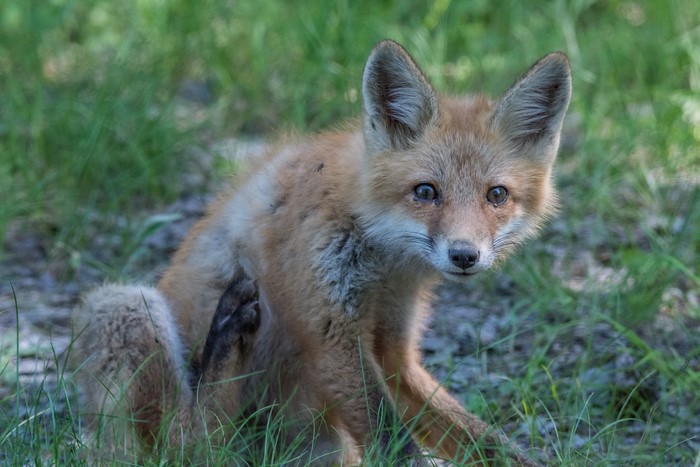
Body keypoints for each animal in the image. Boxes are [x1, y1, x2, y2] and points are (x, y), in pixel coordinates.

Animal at [71, 40, 571, 465]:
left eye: (496, 195)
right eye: (426, 191)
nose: (465, 255)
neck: (382, 260)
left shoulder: (393, 345)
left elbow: (476, 437)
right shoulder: (331, 330)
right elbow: (389, 436)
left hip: (323, 446)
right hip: (123, 306)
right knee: (184, 447)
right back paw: (225, 341)